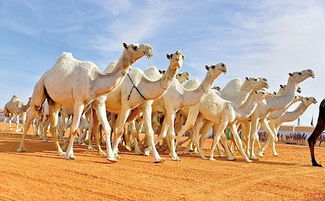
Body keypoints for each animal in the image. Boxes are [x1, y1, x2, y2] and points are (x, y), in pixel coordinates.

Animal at [17, 42, 154, 162]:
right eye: (134, 46)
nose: (150, 48)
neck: (94, 80)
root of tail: (45, 74)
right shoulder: (79, 102)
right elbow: (74, 128)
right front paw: (69, 155)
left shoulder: (98, 103)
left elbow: (107, 127)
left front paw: (111, 157)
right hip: (39, 88)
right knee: (30, 119)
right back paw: (21, 148)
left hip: (54, 101)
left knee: (54, 126)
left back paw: (59, 151)